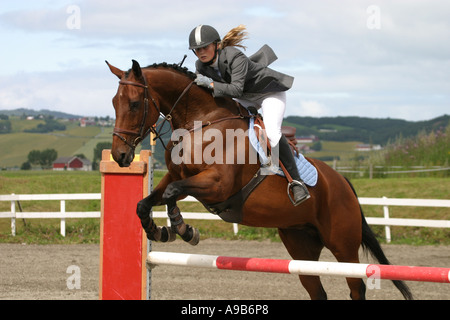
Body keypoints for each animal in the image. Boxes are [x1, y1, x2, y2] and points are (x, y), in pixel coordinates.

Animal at [106, 59, 414, 300]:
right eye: (113, 103)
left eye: (134, 104)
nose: (120, 156)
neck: (201, 121)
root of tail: (344, 183)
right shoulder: (181, 177)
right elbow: (146, 202)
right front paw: (157, 231)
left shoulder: (217, 184)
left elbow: (171, 192)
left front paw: (184, 229)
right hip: (300, 244)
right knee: (317, 289)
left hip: (343, 244)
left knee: (356, 287)